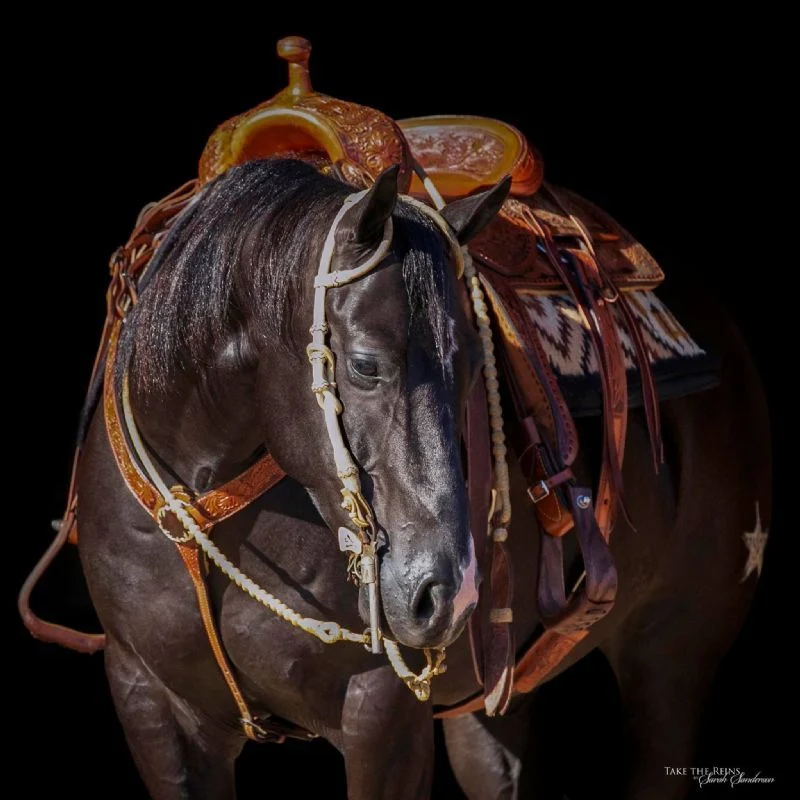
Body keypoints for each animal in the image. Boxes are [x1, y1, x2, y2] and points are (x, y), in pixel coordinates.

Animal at [74, 156, 770, 799]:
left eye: (477, 367)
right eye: (364, 364)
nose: (446, 593)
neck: (199, 504)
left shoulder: (381, 712)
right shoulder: (150, 702)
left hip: (671, 655)